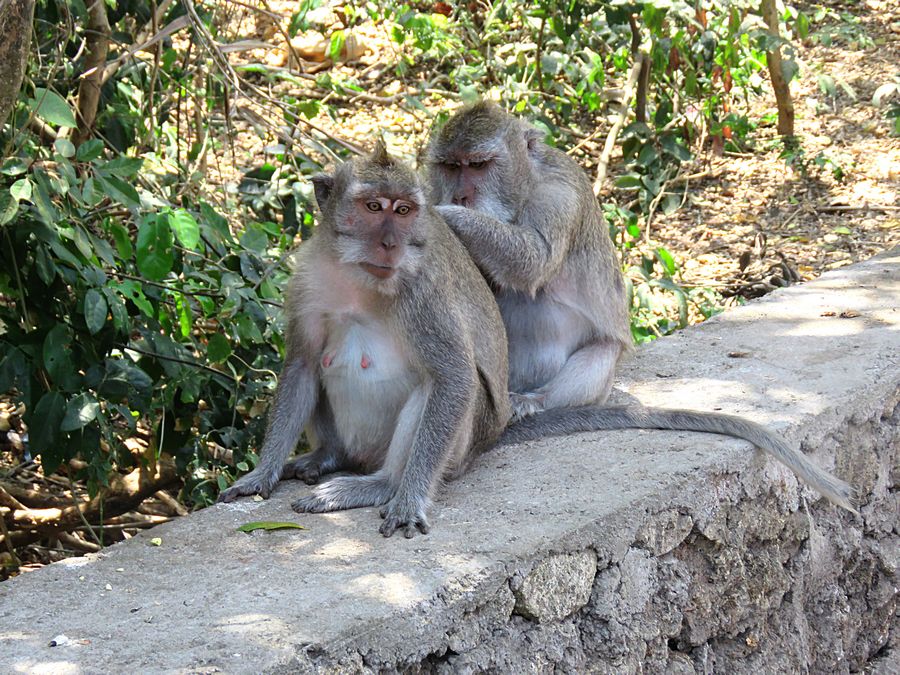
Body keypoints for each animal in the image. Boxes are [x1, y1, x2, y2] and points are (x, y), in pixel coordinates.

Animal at [218, 143, 512, 537]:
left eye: (403, 210)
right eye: (373, 207)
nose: (389, 244)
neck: (360, 278)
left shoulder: (424, 293)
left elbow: (454, 378)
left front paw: (409, 501)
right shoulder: (307, 277)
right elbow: (302, 364)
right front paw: (263, 473)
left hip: (461, 448)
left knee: (433, 389)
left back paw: (382, 485)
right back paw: (328, 456)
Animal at [426, 101, 855, 512]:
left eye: (478, 165)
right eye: (451, 167)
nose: (460, 196)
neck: (524, 188)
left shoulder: (559, 196)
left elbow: (533, 258)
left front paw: (446, 217)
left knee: (599, 354)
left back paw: (535, 402)